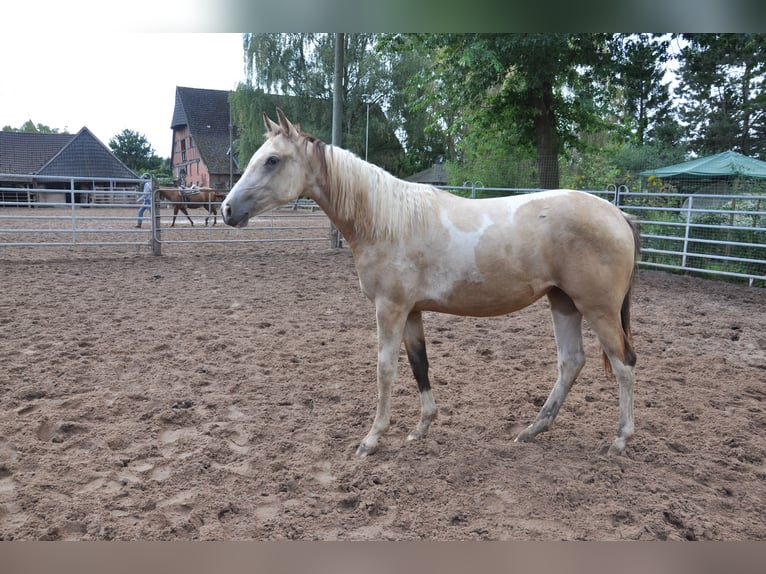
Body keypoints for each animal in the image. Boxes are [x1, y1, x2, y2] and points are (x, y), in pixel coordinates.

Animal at [221, 108, 641, 458]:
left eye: (272, 160)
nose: (227, 209)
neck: (385, 220)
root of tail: (617, 214)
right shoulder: (411, 312)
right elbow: (419, 364)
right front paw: (421, 428)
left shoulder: (390, 308)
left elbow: (386, 369)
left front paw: (372, 439)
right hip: (563, 302)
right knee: (571, 362)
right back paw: (531, 430)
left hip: (597, 309)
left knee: (624, 366)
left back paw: (619, 441)